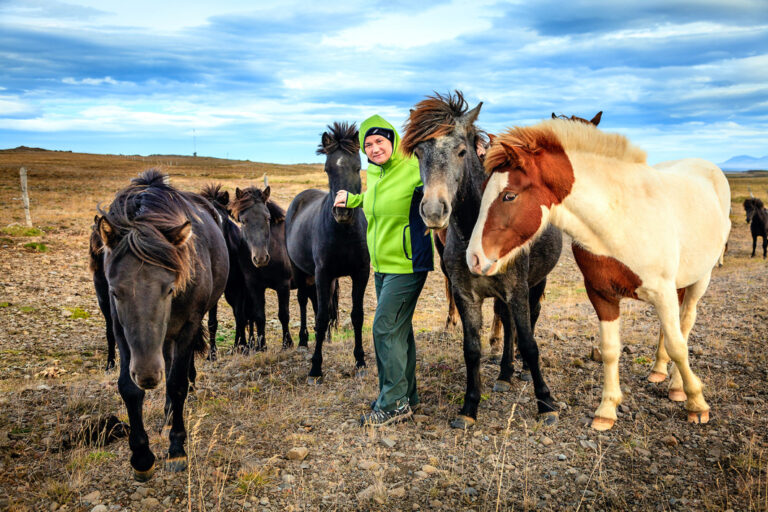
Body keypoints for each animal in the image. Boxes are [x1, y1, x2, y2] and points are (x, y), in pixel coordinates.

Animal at [97, 169, 228, 480]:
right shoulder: (122, 331)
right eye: (115, 291)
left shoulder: (188, 327)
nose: (147, 375)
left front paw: (177, 449)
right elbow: (129, 388)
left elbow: (177, 383)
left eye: (169, 289)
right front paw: (142, 457)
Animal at [288, 122, 372, 382]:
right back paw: (303, 342)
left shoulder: (360, 273)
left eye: (358, 167)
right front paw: (315, 368)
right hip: (300, 271)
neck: (343, 232)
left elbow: (356, 316)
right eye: (327, 170)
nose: (342, 211)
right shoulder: (322, 273)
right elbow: (322, 317)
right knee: (303, 301)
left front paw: (360, 361)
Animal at [402, 92, 564, 428]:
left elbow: (529, 343)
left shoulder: (517, 289)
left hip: (537, 281)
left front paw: (546, 404)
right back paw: (504, 373)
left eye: (462, 151)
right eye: (419, 153)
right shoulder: (466, 295)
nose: (434, 211)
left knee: (530, 318)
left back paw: (522, 372)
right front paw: (469, 407)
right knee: (507, 324)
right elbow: (472, 349)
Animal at [464, 118, 728, 430]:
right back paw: (659, 370)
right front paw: (606, 410)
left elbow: (678, 345)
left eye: (509, 195)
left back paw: (677, 385)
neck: (620, 218)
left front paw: (697, 403)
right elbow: (610, 349)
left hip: (700, 279)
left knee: (684, 325)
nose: (473, 258)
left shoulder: (662, 292)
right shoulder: (602, 295)